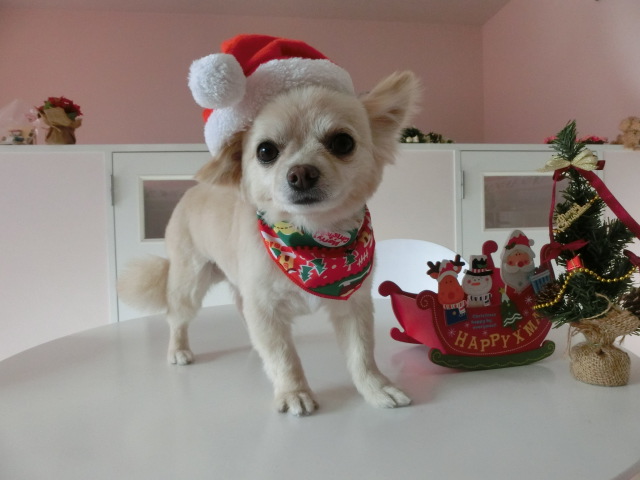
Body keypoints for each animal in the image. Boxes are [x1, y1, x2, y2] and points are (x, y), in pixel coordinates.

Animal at [118, 35, 420, 416]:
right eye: (265, 151)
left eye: (342, 142)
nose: (301, 173)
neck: (313, 237)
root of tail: (191, 192)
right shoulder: (266, 308)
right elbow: (284, 356)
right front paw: (293, 392)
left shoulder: (353, 305)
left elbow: (361, 355)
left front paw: (376, 389)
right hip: (190, 281)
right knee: (177, 316)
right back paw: (179, 350)